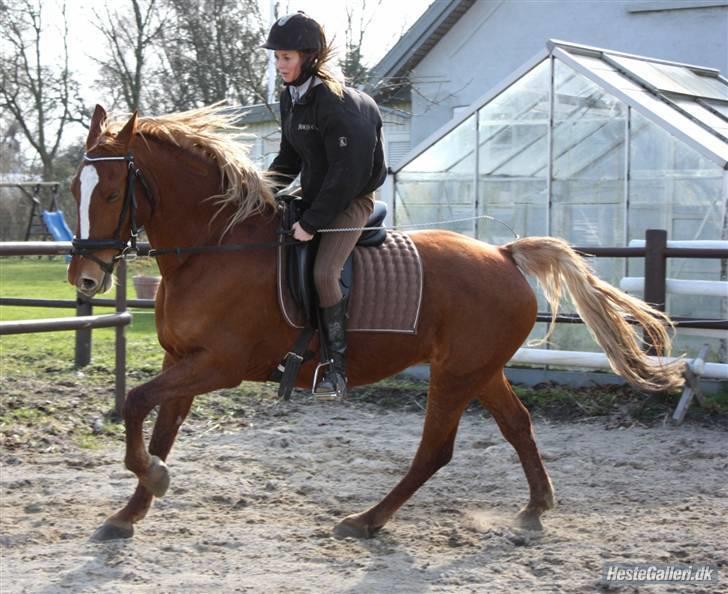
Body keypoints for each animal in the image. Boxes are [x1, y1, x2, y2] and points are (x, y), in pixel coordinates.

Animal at [67, 104, 684, 540]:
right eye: (75, 188)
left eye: (114, 192)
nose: (86, 279)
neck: (214, 248)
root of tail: (504, 254)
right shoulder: (182, 361)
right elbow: (161, 428)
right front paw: (130, 511)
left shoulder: (219, 365)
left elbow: (136, 404)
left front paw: (151, 479)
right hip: (480, 371)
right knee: (518, 426)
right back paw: (534, 510)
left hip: (456, 375)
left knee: (436, 451)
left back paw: (367, 520)